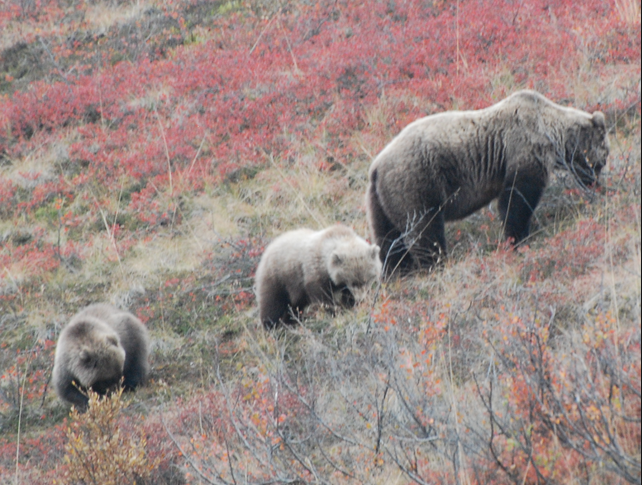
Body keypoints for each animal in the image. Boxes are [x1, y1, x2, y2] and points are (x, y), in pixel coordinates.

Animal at [368, 88, 608, 274]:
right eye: (604, 155)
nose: (595, 182)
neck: (551, 130)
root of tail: (376, 166)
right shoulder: (524, 147)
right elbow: (517, 200)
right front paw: (518, 240)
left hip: (381, 200)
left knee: (388, 240)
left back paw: (399, 272)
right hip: (415, 181)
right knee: (424, 228)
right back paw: (436, 265)